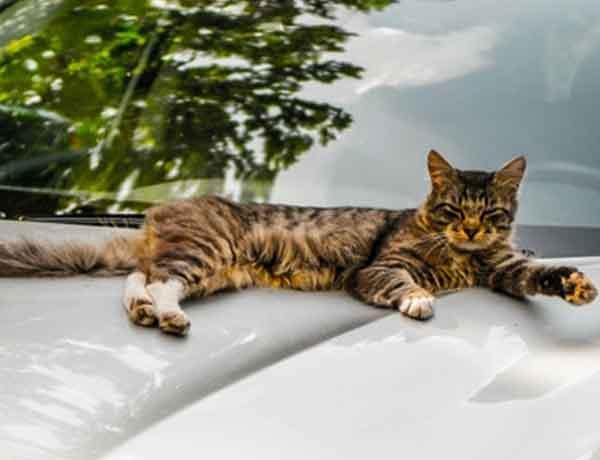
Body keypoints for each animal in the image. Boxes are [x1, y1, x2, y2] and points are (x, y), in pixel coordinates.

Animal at [0, 151, 596, 334]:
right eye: (453, 210)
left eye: (490, 214)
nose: (471, 230)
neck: (463, 256)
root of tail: (158, 212)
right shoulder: (380, 266)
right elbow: (402, 282)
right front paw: (419, 301)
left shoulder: (503, 267)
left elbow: (536, 275)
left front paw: (576, 285)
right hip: (206, 253)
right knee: (159, 281)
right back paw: (168, 317)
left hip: (211, 270)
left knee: (138, 279)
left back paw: (146, 311)